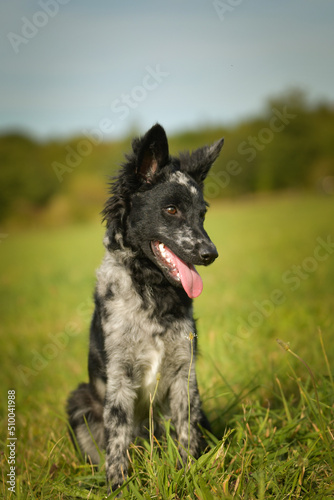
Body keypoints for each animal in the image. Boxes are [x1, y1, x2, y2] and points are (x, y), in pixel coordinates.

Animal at [66, 123, 223, 490]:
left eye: (203, 213)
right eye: (171, 209)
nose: (210, 254)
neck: (152, 291)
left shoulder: (184, 375)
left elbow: (186, 433)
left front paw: (188, 473)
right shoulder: (120, 379)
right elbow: (118, 442)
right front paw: (118, 487)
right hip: (79, 401)